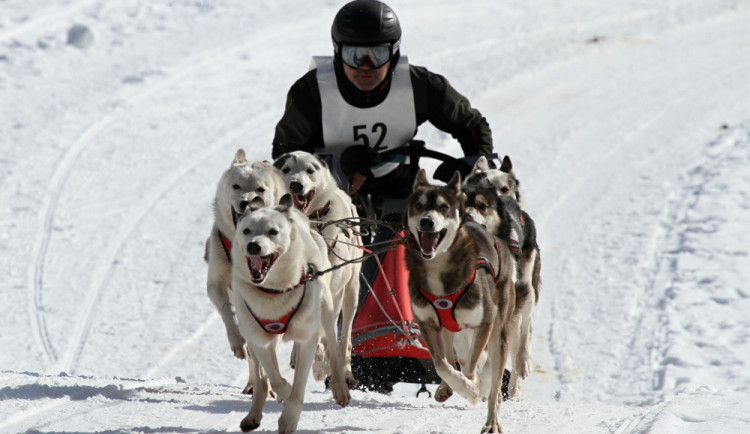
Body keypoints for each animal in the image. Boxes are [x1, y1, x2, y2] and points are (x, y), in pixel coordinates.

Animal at [204, 148, 286, 394]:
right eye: (236, 186)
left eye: (260, 189)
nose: (246, 202)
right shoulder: (216, 284)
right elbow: (228, 311)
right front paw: (236, 341)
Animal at [234, 195, 352, 432]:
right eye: (246, 230)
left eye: (273, 231)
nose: (253, 245)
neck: (272, 292)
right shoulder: (259, 340)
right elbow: (274, 377)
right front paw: (284, 392)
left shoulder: (307, 338)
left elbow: (298, 389)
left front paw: (289, 418)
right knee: (261, 380)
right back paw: (254, 414)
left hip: (327, 311)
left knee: (334, 349)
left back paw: (339, 388)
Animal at [274, 150, 364, 386]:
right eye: (286, 169)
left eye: (310, 170)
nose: (296, 185)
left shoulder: (332, 291)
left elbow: (327, 333)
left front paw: (321, 363)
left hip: (351, 292)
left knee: (345, 336)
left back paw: (344, 370)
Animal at [406, 170, 524, 434]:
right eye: (418, 205)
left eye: (443, 207)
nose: (426, 221)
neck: (438, 266)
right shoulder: (427, 323)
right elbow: (441, 363)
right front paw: (454, 385)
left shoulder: (485, 322)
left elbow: (471, 367)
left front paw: (471, 389)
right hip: (451, 327)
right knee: (454, 356)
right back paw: (447, 387)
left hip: (499, 329)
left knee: (492, 379)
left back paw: (491, 420)